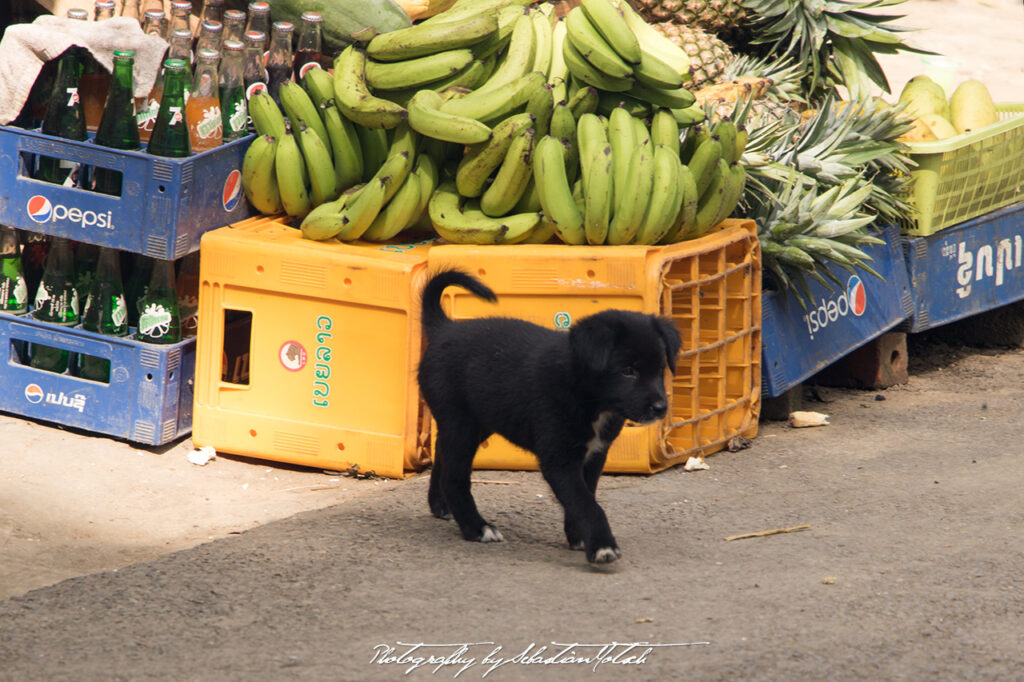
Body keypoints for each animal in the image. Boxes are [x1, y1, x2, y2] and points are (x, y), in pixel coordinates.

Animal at [415, 268, 679, 561]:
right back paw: (476, 528)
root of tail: (443, 328)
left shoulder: (595, 453)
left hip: (478, 420)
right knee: (454, 477)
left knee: (441, 455)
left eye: (660, 369)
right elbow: (585, 502)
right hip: (461, 424)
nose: (660, 408)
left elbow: (585, 495)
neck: (585, 394)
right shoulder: (558, 458)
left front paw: (578, 536)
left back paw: (440, 505)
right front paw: (602, 545)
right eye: (628, 371)